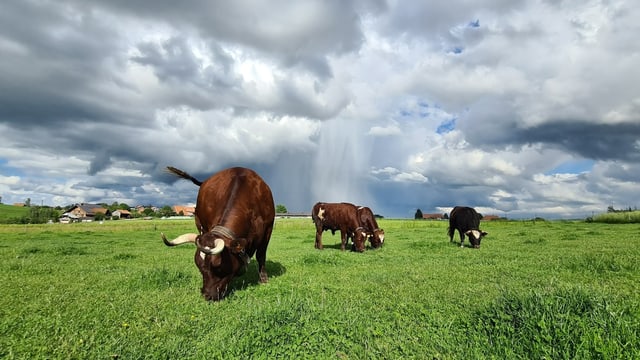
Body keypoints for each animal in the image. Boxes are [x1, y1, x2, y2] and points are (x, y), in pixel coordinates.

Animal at [161, 167, 274, 300]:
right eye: (198, 265)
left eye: (218, 266)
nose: (207, 295)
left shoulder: (268, 228)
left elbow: (261, 255)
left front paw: (263, 279)